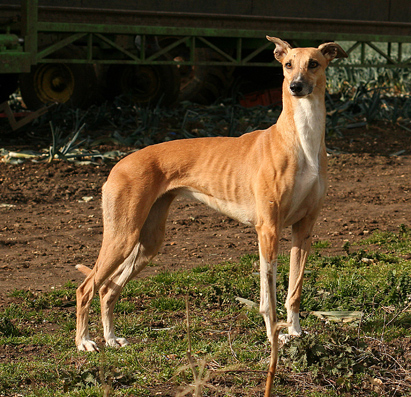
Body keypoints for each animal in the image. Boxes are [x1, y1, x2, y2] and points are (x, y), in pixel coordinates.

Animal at [75, 37, 348, 372]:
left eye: (314, 64)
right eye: (287, 65)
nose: (296, 86)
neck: (301, 140)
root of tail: (117, 164)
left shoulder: (304, 229)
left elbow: (293, 292)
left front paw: (296, 333)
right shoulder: (268, 230)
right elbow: (267, 298)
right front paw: (275, 336)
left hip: (147, 242)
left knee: (108, 289)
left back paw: (112, 339)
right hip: (122, 237)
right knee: (86, 288)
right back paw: (85, 342)